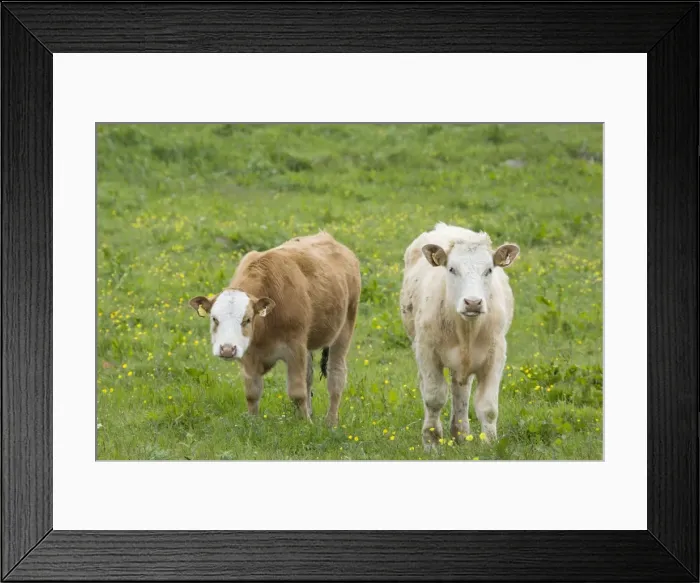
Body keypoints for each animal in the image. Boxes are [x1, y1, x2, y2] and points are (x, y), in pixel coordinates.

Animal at [189, 231, 361, 426]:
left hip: (345, 327)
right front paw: (253, 423)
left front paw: (305, 424)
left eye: (247, 319)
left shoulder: (295, 348)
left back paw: (330, 422)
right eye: (214, 318)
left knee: (336, 376)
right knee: (309, 376)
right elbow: (252, 393)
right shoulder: (249, 354)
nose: (227, 349)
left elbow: (297, 392)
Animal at [399, 222, 520, 449]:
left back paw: (461, 434)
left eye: (488, 270)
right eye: (452, 269)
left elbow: (488, 407)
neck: (467, 330)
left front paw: (490, 444)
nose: (472, 302)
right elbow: (434, 398)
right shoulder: (427, 352)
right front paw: (431, 442)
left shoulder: (496, 356)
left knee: (460, 390)